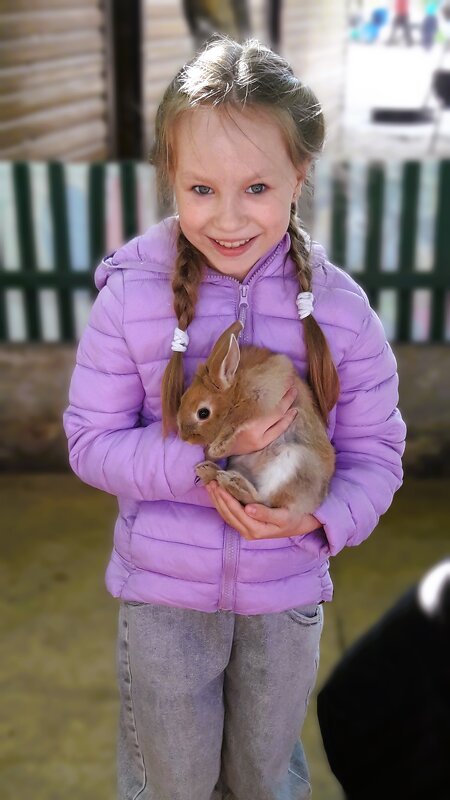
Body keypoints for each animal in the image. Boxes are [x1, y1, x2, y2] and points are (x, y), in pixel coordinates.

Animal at [178, 320, 336, 516]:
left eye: (203, 413)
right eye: (182, 399)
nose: (184, 438)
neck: (235, 388)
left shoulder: (258, 399)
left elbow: (235, 420)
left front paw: (218, 447)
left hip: (294, 461)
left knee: (262, 501)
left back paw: (231, 482)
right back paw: (210, 471)